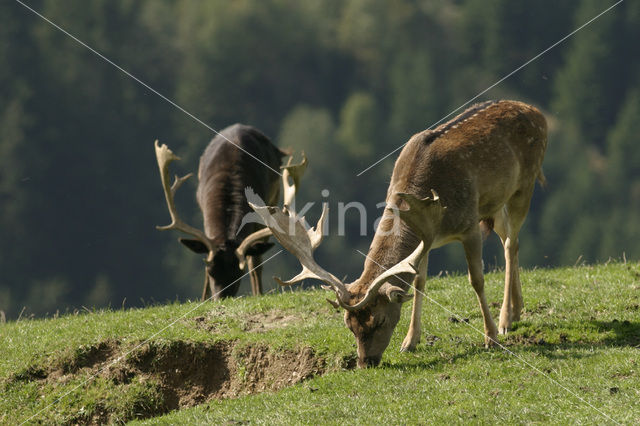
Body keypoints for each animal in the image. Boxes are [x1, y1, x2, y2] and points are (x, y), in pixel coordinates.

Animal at [154, 125, 304, 302]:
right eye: (210, 270)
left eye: (239, 273)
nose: (221, 299)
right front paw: (203, 298)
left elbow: (254, 261)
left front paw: (258, 294)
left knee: (256, 259)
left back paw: (258, 292)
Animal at [249, 101, 544, 368]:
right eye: (349, 325)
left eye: (379, 320)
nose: (365, 362)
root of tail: (535, 111)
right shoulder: (428, 236)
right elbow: (419, 283)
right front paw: (410, 341)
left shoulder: (469, 225)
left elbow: (477, 280)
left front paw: (491, 337)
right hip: (495, 205)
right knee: (511, 240)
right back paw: (516, 311)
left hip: (525, 185)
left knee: (510, 242)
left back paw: (505, 320)